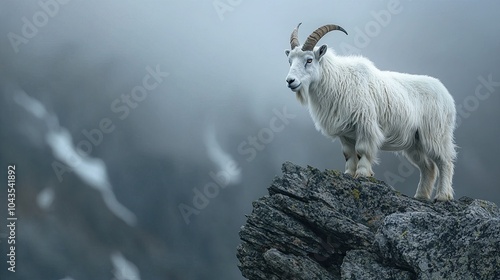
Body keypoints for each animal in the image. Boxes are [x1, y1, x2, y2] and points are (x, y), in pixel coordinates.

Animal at [286, 23, 458, 200]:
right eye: (290, 61)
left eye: (309, 60)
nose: (290, 81)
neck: (338, 80)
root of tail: (446, 95)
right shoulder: (345, 133)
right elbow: (348, 153)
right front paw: (348, 174)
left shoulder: (365, 125)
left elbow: (361, 150)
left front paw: (362, 174)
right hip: (415, 142)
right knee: (428, 167)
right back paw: (421, 196)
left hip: (436, 135)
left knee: (444, 162)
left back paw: (442, 196)